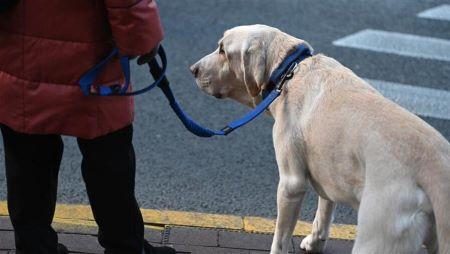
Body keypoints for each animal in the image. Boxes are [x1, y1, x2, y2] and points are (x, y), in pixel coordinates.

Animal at [190, 24, 450, 254]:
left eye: (223, 50)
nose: (192, 69)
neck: (288, 72)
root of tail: (436, 168)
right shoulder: (328, 173)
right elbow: (323, 212)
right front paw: (315, 242)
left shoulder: (291, 184)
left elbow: (280, 239)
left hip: (377, 236)